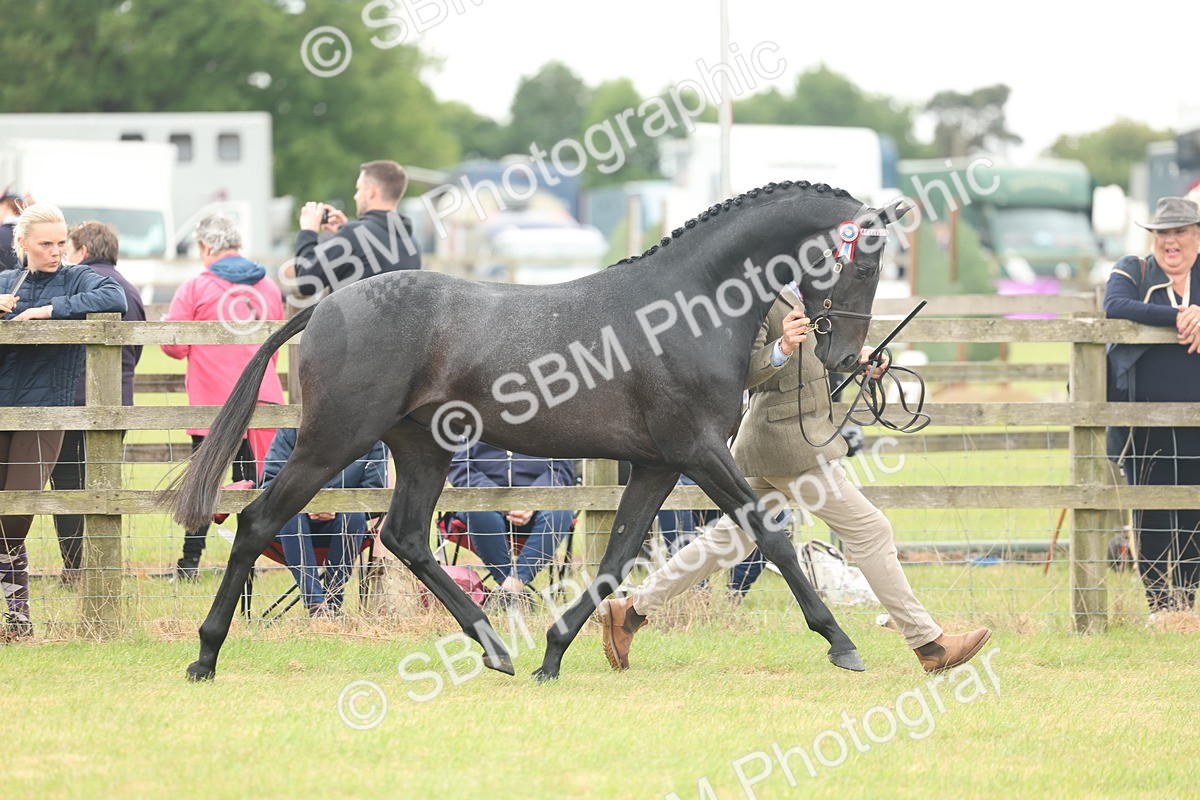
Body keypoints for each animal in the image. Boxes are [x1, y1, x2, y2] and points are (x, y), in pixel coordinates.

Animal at [165, 180, 909, 682]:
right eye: (866, 262)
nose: (847, 358)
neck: (687, 309)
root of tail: (326, 306)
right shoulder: (698, 452)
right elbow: (772, 535)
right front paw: (842, 643)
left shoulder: (659, 464)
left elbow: (615, 558)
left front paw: (554, 654)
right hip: (332, 442)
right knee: (259, 522)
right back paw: (204, 655)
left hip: (422, 447)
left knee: (404, 536)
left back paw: (495, 649)